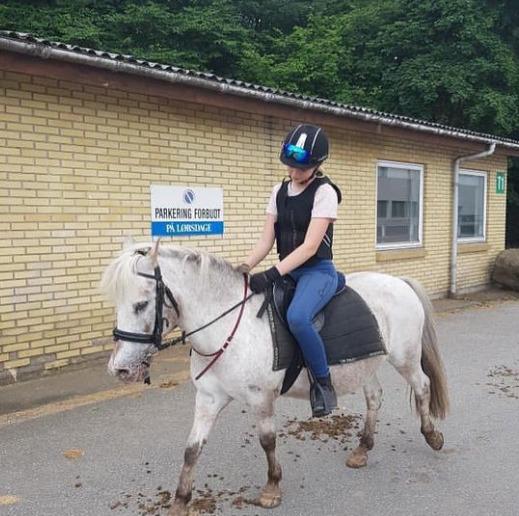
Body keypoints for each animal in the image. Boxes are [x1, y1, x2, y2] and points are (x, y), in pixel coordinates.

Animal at [100, 242, 446, 516]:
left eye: (141, 304)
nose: (120, 369)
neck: (227, 326)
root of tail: (398, 281)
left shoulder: (260, 397)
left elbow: (267, 441)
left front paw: (271, 488)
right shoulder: (209, 399)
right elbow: (192, 449)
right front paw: (180, 501)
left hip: (404, 358)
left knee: (422, 386)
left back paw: (431, 436)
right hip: (366, 365)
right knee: (375, 397)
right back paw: (363, 448)